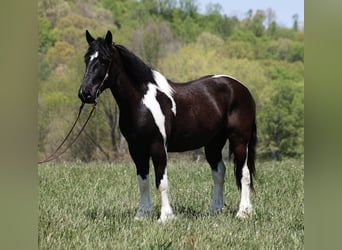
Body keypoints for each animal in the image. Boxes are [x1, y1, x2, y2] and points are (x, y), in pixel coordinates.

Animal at [78, 30, 256, 224]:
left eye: (104, 60)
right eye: (86, 58)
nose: (85, 93)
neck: (141, 102)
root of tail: (241, 88)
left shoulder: (157, 147)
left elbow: (161, 182)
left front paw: (165, 217)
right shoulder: (136, 149)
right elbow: (143, 182)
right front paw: (142, 214)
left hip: (239, 140)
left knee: (244, 173)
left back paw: (243, 212)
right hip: (213, 143)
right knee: (219, 172)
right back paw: (215, 209)